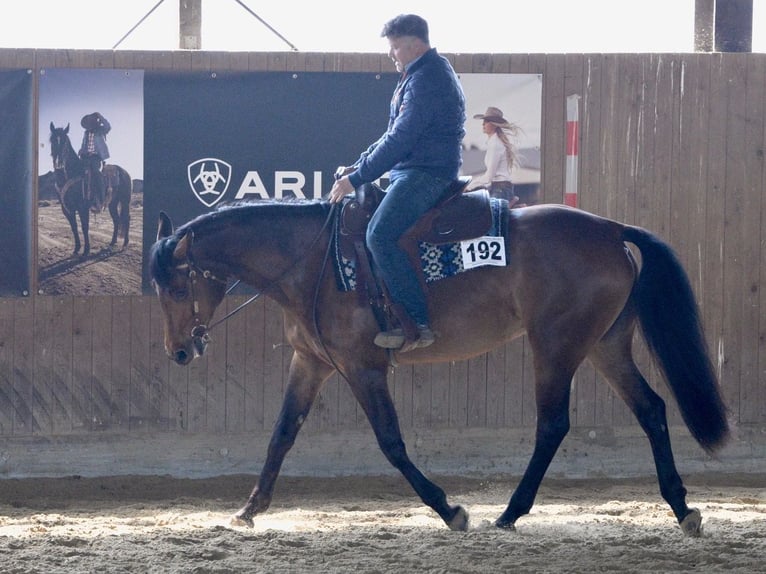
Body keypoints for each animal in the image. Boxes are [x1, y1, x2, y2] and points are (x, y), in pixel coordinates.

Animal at [48, 122, 132, 255]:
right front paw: (77, 248)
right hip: (112, 203)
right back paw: (112, 242)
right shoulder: (67, 209)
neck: (71, 175)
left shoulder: (83, 207)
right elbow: (74, 228)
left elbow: (84, 227)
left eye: (65, 142)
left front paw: (86, 250)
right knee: (116, 220)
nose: (59, 165)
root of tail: (124, 172)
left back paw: (125, 243)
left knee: (126, 218)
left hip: (125, 201)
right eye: (52, 140)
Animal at [149, 197, 730, 535]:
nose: (178, 351)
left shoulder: (362, 367)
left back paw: (510, 513)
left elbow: (391, 442)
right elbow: (280, 436)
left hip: (557, 345)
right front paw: (249, 509)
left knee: (553, 424)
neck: (313, 263)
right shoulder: (310, 361)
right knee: (651, 409)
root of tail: (610, 229)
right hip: (604, 344)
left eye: (176, 287)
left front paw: (450, 510)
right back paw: (682, 509)